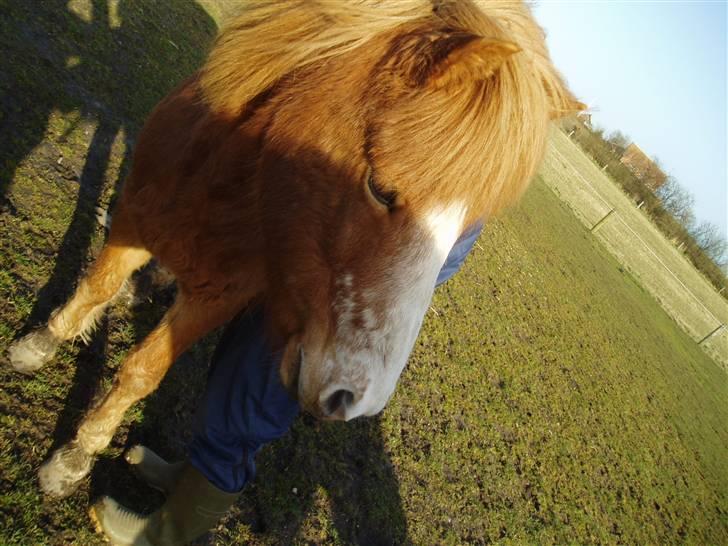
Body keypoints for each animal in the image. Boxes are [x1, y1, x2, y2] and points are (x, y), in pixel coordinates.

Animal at [5, 0, 580, 498]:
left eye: (464, 228)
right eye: (381, 190)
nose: (354, 401)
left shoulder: (222, 294)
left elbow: (143, 370)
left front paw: (75, 457)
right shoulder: (136, 217)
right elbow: (96, 285)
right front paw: (38, 345)